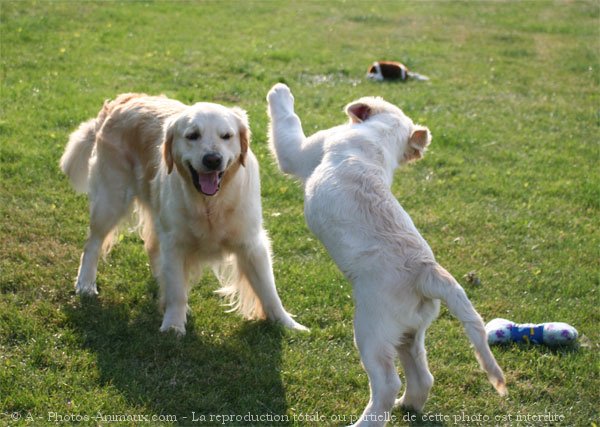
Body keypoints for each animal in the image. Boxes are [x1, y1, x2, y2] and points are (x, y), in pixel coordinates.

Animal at [61, 93, 308, 334]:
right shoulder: (175, 242)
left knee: (151, 247)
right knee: (92, 244)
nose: (212, 159)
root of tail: (122, 100)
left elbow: (268, 289)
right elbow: (177, 291)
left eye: (226, 136)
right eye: (192, 135)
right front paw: (173, 326)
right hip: (111, 199)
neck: (209, 204)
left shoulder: (251, 243)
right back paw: (85, 284)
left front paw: (287, 323)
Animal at [268, 84, 506, 427]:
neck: (379, 136)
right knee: (423, 376)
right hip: (409, 332)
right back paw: (408, 405)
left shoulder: (302, 151)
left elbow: (288, 124)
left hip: (372, 331)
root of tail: (428, 271)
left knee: (387, 384)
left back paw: (364, 422)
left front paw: (280, 92)